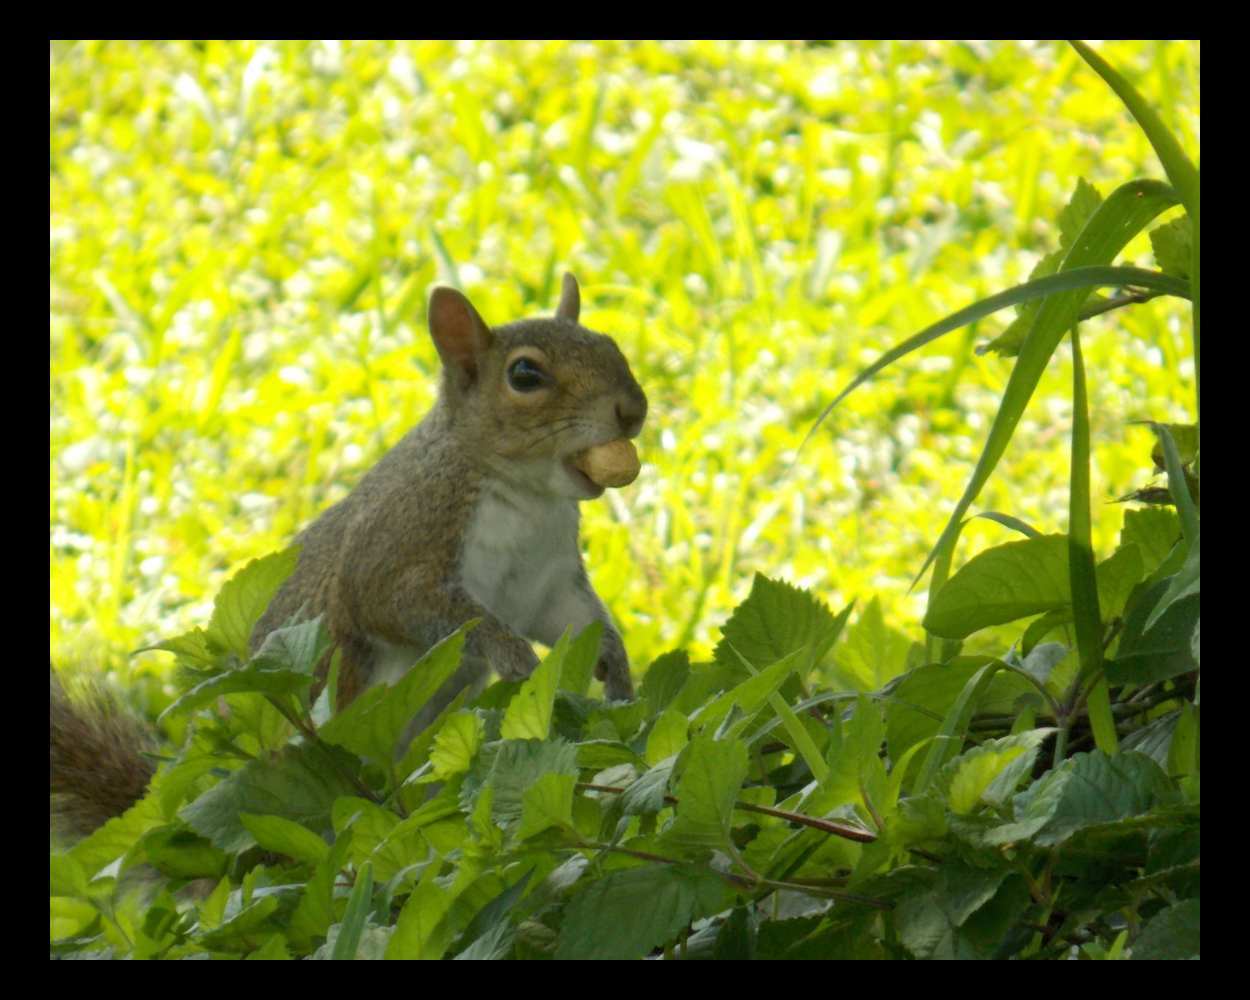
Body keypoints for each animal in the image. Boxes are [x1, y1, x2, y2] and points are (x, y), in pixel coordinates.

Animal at [51, 273, 647, 836]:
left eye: (610, 344)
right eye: (525, 376)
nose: (633, 409)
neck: (528, 498)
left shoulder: (549, 582)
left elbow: (579, 622)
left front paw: (616, 670)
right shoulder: (397, 550)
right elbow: (422, 610)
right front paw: (514, 655)